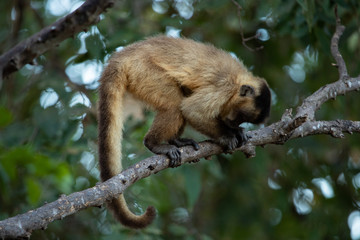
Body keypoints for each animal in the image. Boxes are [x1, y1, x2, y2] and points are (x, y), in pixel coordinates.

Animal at [97, 35, 272, 229]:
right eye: (240, 115)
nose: (233, 122)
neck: (239, 79)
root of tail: (124, 54)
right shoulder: (224, 87)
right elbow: (192, 110)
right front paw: (227, 135)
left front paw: (237, 132)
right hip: (141, 70)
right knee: (174, 104)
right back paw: (154, 143)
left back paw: (176, 141)